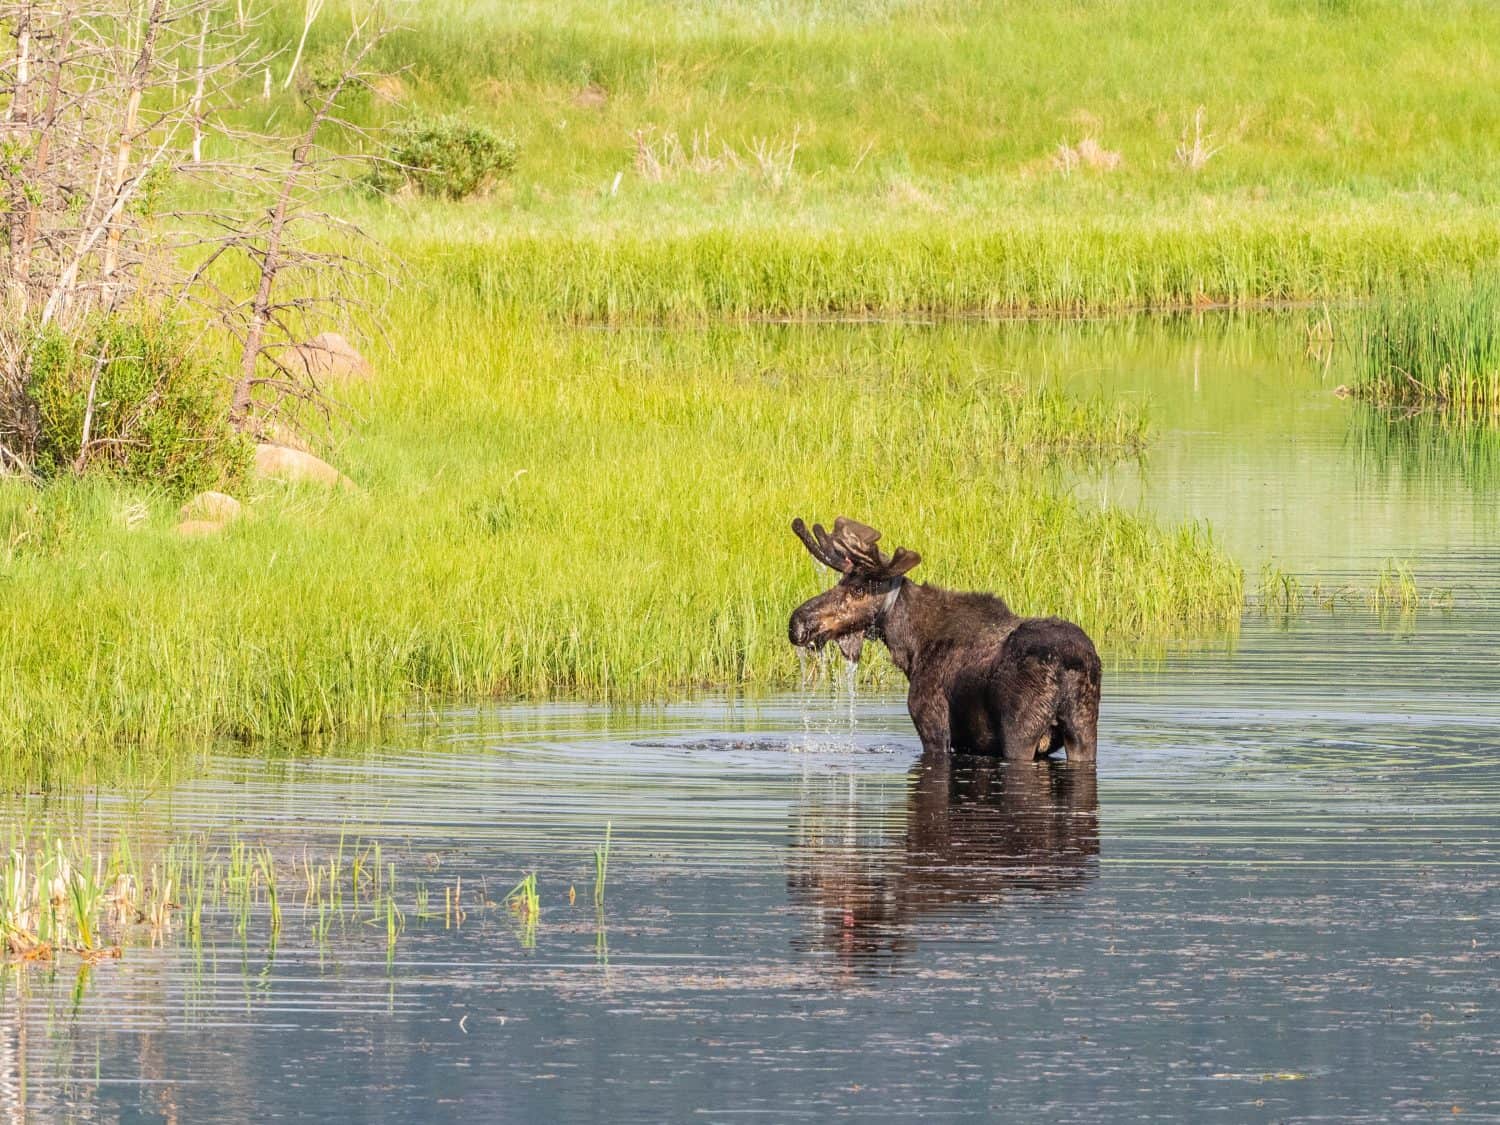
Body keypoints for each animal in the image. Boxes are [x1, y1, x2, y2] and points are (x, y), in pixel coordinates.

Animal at [787, 517, 1101, 762]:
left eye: (858, 591)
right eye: (840, 582)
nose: (797, 622)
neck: (911, 649)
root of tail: (1071, 661)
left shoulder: (933, 727)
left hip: (1021, 732)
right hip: (1083, 728)